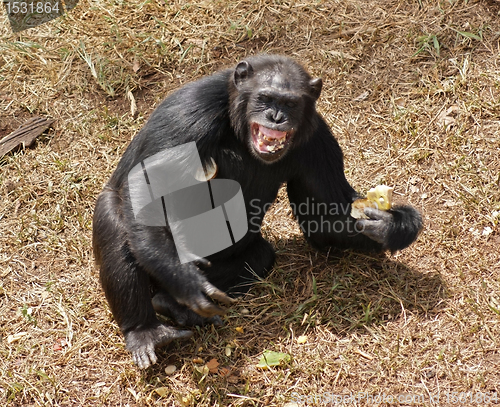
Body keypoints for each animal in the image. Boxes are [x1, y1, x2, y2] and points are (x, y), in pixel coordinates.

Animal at [93, 52, 422, 368]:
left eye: (290, 103)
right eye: (265, 98)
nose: (275, 116)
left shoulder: (319, 143)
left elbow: (324, 217)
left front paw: (394, 226)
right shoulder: (188, 113)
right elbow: (151, 184)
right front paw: (181, 276)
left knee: (260, 256)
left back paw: (173, 305)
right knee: (117, 225)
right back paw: (145, 329)